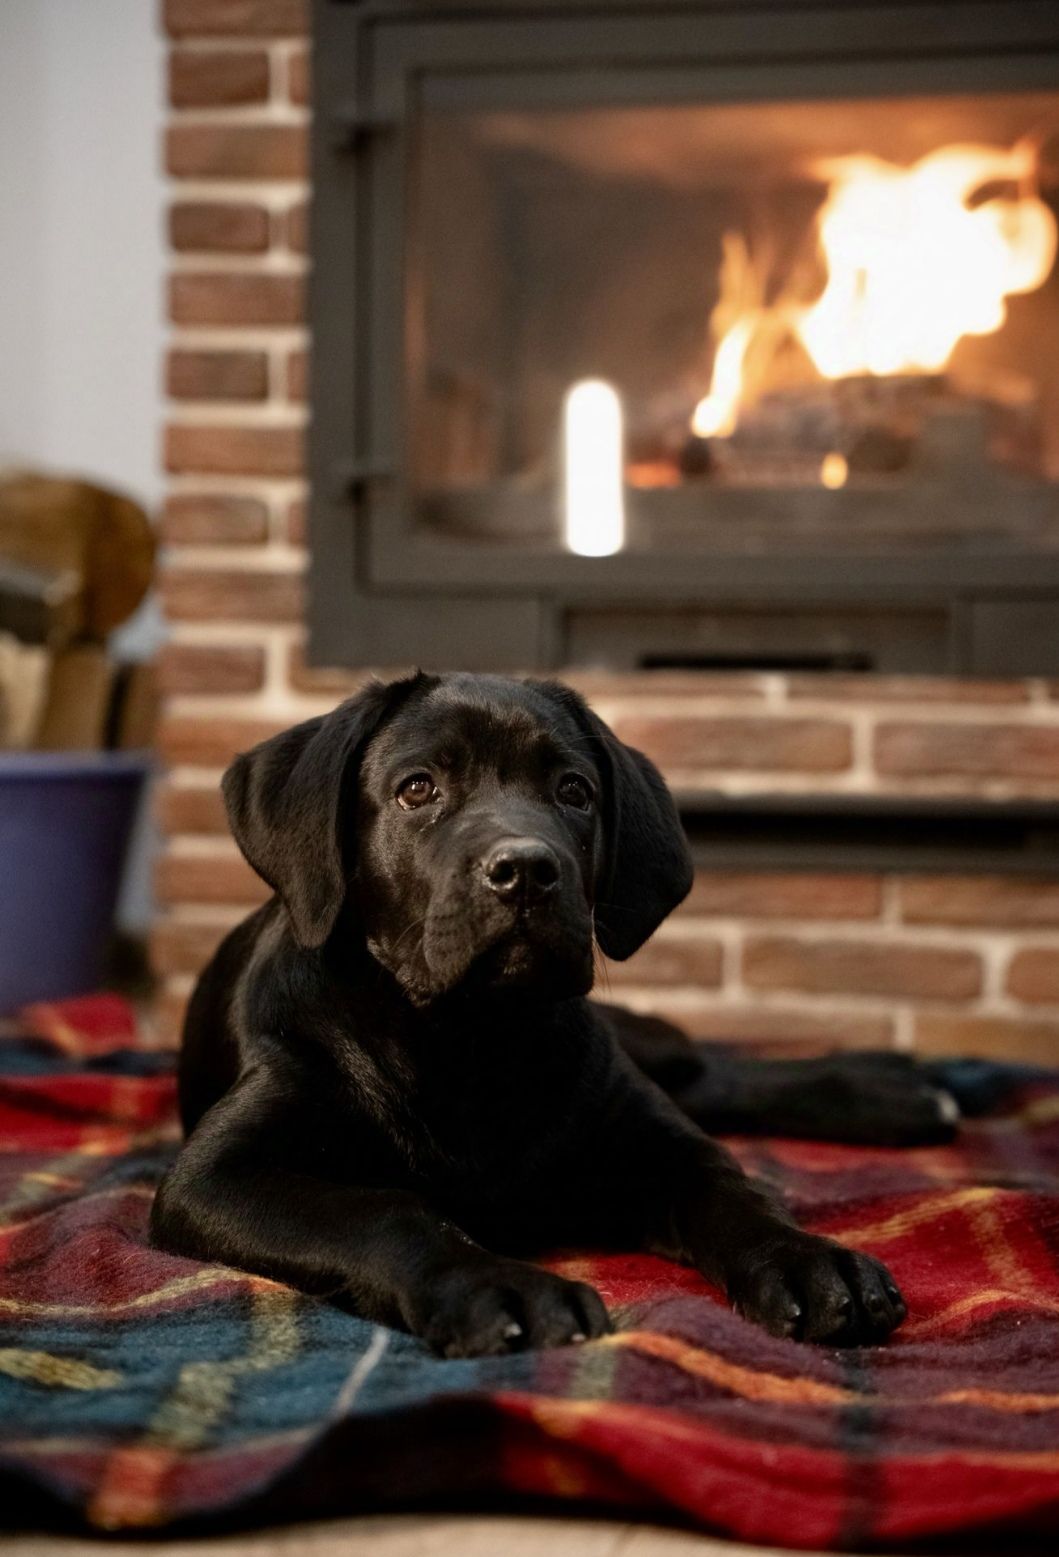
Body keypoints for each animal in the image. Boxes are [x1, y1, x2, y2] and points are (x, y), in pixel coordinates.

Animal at [151, 675, 959, 1357]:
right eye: (417, 788)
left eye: (574, 790)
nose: (527, 869)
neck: (472, 1041)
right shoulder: (213, 1177)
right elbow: (384, 1209)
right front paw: (502, 1284)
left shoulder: (652, 1139)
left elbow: (733, 1187)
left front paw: (811, 1261)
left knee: (711, 1072)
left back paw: (896, 1087)